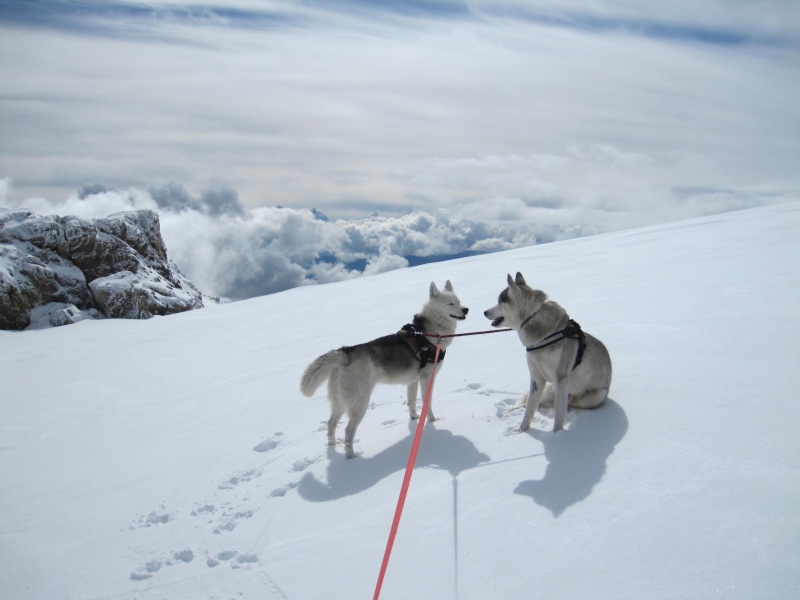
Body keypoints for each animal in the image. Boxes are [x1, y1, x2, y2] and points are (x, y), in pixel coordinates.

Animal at [482, 274, 612, 434]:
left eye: (500, 301)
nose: (484, 312)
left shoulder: (561, 379)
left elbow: (558, 412)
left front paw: (557, 434)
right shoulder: (537, 379)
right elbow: (530, 407)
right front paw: (522, 429)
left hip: (593, 396)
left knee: (563, 404)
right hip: (550, 388)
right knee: (534, 403)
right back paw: (511, 409)